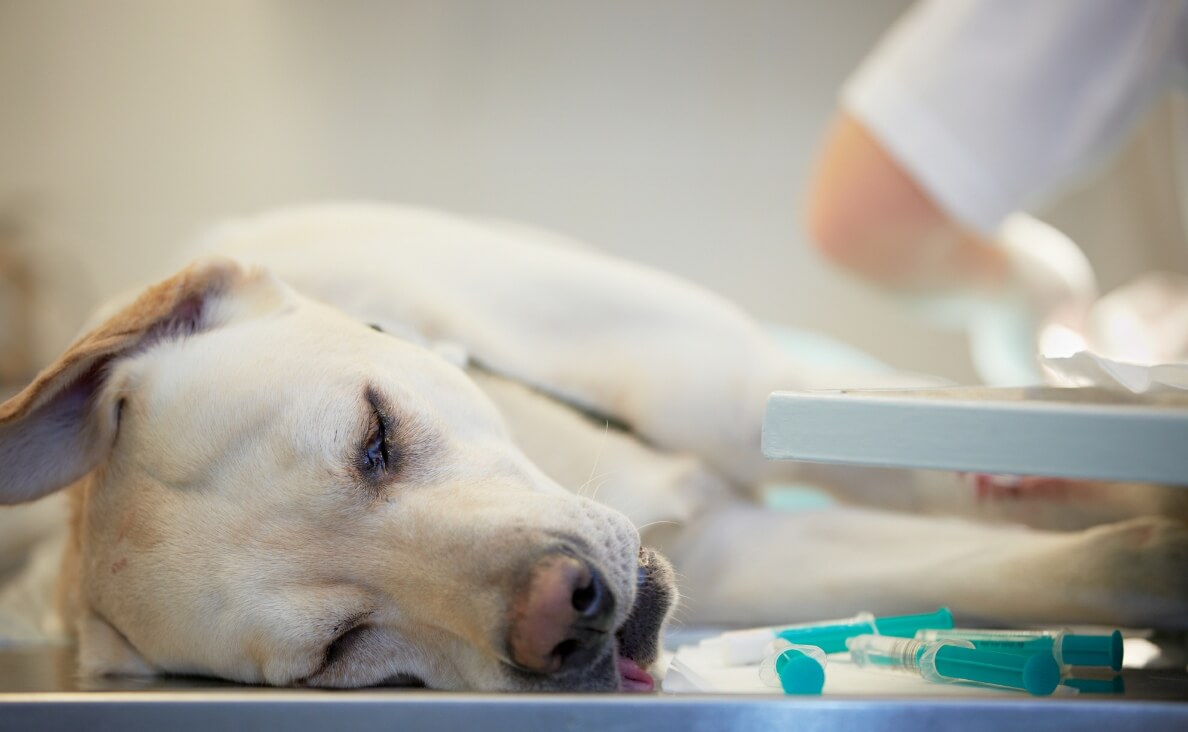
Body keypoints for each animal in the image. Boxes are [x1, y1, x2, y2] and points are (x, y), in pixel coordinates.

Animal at [2, 203, 1188, 689]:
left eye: (374, 437)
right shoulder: (742, 557)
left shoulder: (768, 403)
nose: (565, 614)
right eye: (338, 650)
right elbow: (1065, 565)